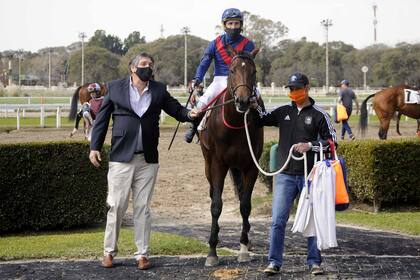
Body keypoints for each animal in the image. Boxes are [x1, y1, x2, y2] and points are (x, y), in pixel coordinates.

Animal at [198, 48, 262, 266]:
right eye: (232, 70)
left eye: (254, 71)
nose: (243, 101)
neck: (235, 124)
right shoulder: (218, 164)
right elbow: (216, 205)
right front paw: (212, 250)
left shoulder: (251, 166)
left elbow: (245, 205)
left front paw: (243, 248)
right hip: (208, 163)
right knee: (212, 193)